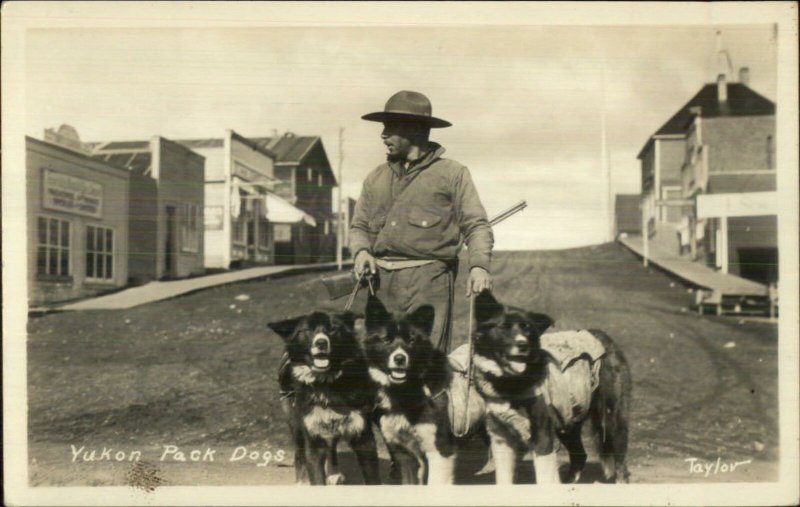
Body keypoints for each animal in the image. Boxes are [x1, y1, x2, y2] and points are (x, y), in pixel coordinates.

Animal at [268, 312, 382, 486]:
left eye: (333, 328)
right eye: (308, 330)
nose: (321, 342)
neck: (326, 383)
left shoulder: (363, 437)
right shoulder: (312, 436)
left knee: (331, 446)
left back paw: (334, 473)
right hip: (295, 422)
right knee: (299, 452)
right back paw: (302, 481)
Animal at [468, 290, 632, 484]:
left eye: (527, 328)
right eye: (503, 327)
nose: (522, 345)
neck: (510, 381)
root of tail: (605, 338)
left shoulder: (542, 437)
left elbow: (545, 479)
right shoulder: (501, 439)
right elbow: (504, 480)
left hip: (611, 419)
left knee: (620, 462)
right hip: (567, 420)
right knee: (580, 455)